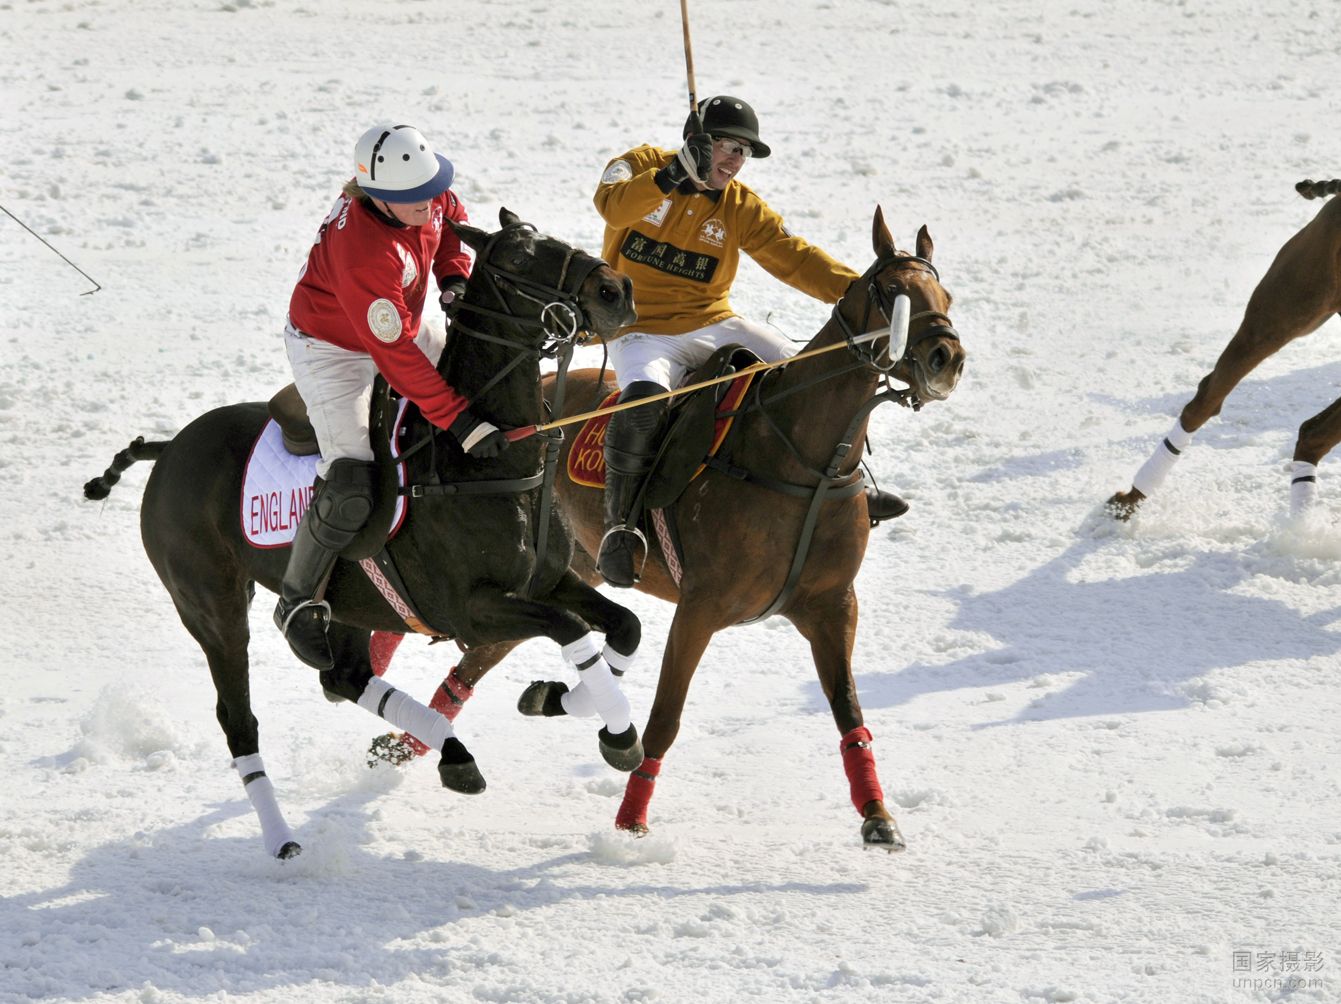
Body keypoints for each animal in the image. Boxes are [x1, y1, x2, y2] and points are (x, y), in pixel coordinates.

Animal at [83, 209, 644, 859]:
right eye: (519, 259)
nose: (616, 290)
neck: (489, 460)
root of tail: (170, 447)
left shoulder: (548, 581)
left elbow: (623, 625)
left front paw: (567, 703)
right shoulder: (472, 610)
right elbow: (571, 628)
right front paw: (617, 734)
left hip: (349, 604)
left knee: (343, 675)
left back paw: (452, 753)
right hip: (210, 607)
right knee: (239, 718)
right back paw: (283, 839)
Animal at [371, 206, 966, 851]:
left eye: (947, 295)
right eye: (891, 294)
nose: (946, 359)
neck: (803, 463)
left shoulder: (833, 606)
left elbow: (849, 710)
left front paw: (878, 815)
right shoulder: (700, 607)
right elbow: (664, 718)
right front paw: (630, 820)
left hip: (558, 571)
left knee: (480, 657)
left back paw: (456, 725)